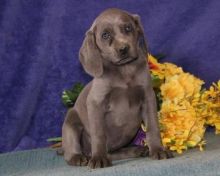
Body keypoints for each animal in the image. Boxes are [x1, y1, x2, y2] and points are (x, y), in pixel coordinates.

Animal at [61, 8, 173, 169]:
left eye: (128, 28)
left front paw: (158, 150)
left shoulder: (148, 97)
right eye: (105, 35)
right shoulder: (96, 103)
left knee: (113, 152)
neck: (124, 70)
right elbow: (99, 134)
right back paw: (79, 157)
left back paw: (137, 150)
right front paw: (99, 158)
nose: (123, 49)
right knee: (72, 150)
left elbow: (153, 126)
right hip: (71, 120)